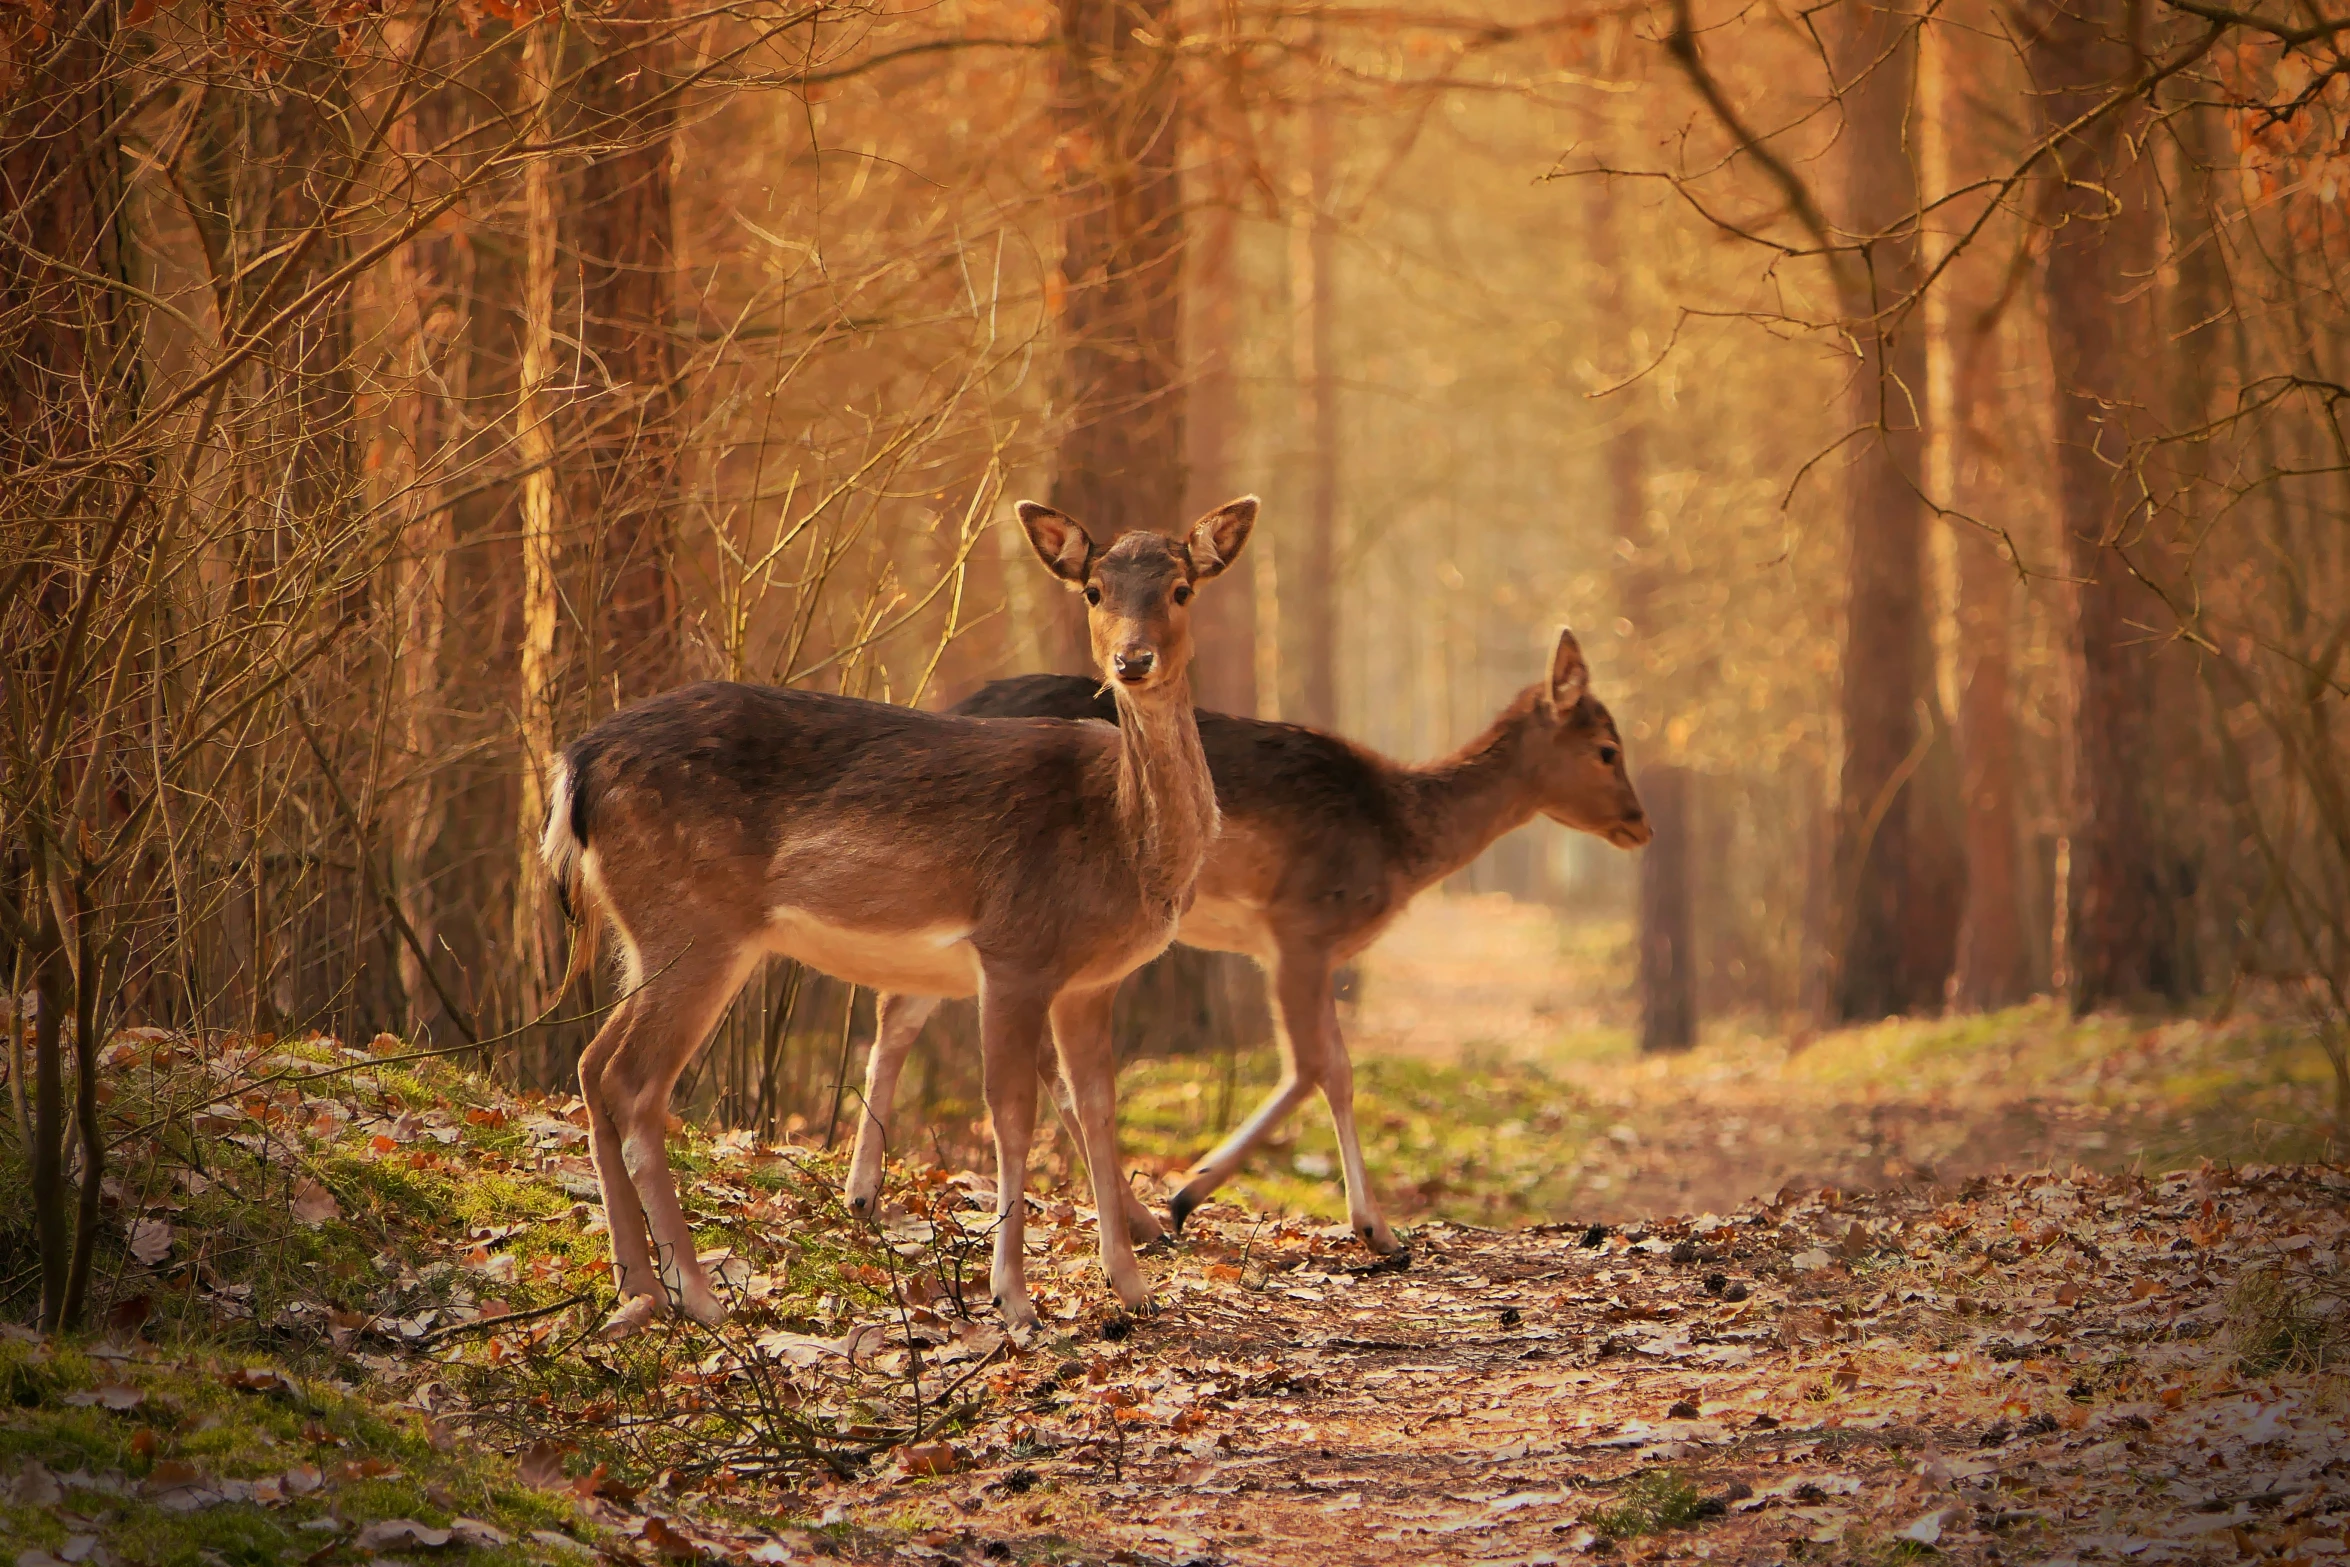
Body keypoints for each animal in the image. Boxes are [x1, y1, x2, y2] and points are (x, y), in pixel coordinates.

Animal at [542, 495, 1259, 1343]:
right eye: (1094, 590)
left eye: (1181, 588)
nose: (1132, 660)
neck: (1123, 841)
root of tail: (575, 765)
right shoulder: (1015, 948)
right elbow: (1011, 1115)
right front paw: (1014, 1295)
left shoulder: (1091, 981)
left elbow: (1098, 1110)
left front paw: (1133, 1286)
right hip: (696, 919)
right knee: (635, 1081)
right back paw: (698, 1291)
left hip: (645, 934)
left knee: (593, 1064)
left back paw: (637, 1285)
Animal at [850, 629, 1654, 1259]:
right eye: (1606, 748)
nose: (1640, 823)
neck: (1399, 839)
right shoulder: (1302, 926)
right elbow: (1321, 1066)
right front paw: (1355, 1224)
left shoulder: (1297, 945)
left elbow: (1327, 1065)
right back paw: (1139, 1219)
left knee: (903, 1010)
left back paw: (865, 1196)